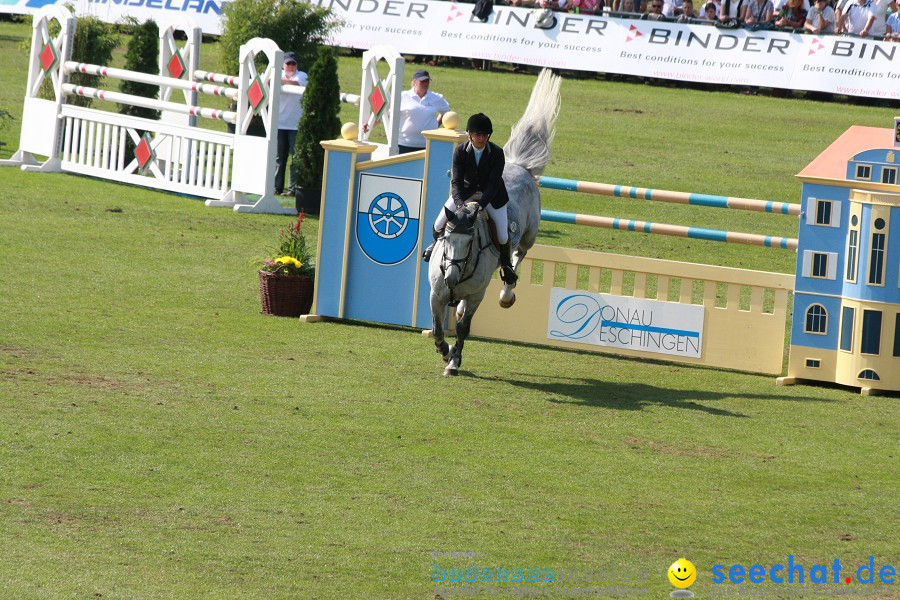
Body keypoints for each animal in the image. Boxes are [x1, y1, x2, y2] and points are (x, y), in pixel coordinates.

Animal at [428, 69, 564, 376]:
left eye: (470, 243)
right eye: (445, 239)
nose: (451, 277)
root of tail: (517, 165)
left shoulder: (477, 295)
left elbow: (463, 328)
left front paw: (453, 361)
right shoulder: (436, 294)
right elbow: (438, 328)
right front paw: (444, 351)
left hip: (528, 236)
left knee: (516, 257)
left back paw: (506, 294)